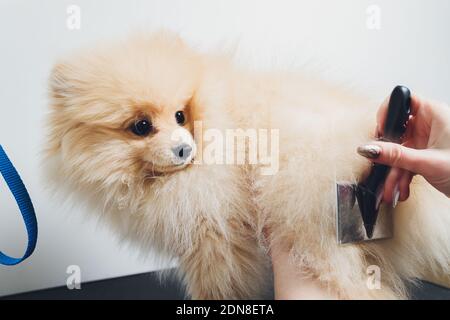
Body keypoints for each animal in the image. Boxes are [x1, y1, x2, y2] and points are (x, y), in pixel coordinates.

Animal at [46, 31, 450, 298]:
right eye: (141, 126)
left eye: (180, 115)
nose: (183, 149)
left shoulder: (214, 230)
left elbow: (220, 282)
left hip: (309, 213)